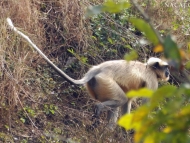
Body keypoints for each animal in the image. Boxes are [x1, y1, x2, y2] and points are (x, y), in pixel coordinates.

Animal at [6, 17, 169, 130]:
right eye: (166, 68)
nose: (168, 73)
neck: (149, 68)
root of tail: (97, 69)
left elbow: (127, 104)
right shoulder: (152, 81)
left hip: (98, 84)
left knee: (120, 101)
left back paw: (107, 131)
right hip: (105, 81)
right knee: (120, 99)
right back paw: (99, 110)